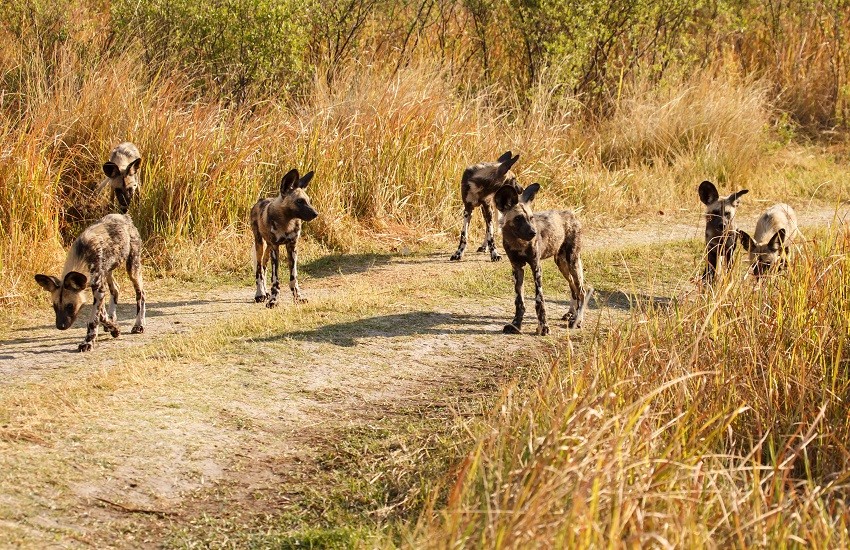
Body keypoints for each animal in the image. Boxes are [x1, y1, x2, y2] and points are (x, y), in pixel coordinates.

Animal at [35, 213, 146, 352]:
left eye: (70, 306)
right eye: (54, 306)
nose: (60, 326)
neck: (83, 258)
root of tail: (124, 216)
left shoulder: (98, 290)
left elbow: (94, 320)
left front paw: (88, 342)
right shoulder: (99, 289)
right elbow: (102, 316)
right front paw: (114, 328)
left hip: (132, 268)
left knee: (141, 294)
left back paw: (139, 325)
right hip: (108, 272)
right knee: (116, 289)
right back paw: (114, 318)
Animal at [253, 168, 320, 308]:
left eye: (308, 201)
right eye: (299, 201)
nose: (316, 214)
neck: (286, 222)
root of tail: (260, 200)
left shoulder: (292, 247)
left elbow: (293, 278)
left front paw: (298, 298)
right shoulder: (275, 248)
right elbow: (275, 280)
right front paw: (273, 300)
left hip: (268, 248)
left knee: (264, 267)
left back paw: (265, 292)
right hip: (260, 245)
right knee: (259, 269)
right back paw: (260, 294)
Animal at [490, 183, 588, 336]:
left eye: (531, 218)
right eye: (518, 219)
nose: (533, 232)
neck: (518, 243)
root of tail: (572, 214)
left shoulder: (536, 266)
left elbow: (539, 300)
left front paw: (543, 327)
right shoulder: (517, 268)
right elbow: (519, 301)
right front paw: (516, 325)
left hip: (572, 261)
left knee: (582, 291)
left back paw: (577, 320)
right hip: (562, 264)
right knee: (573, 288)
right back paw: (571, 313)